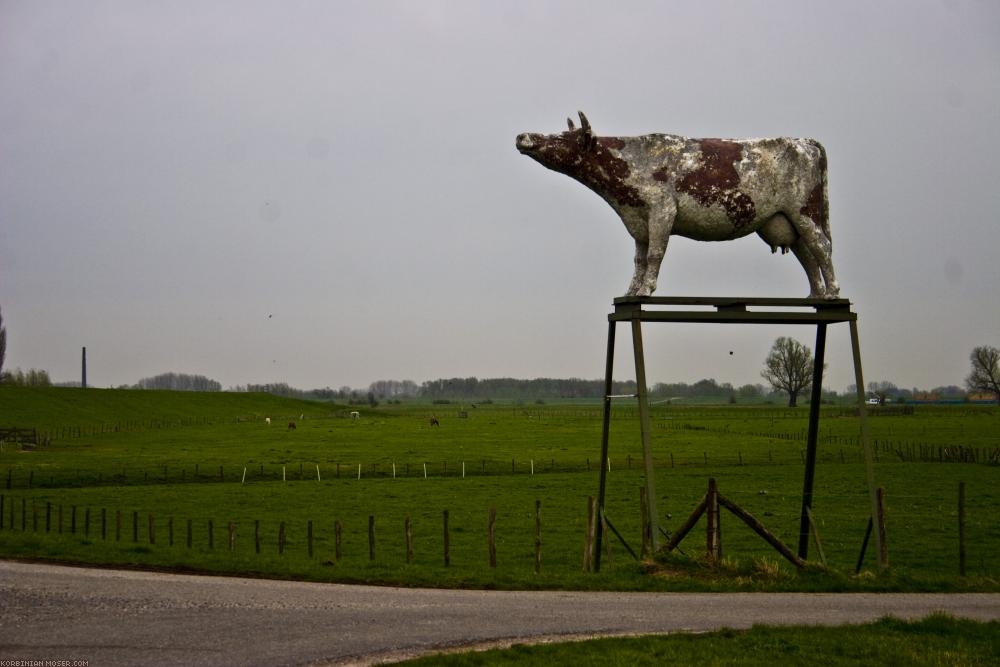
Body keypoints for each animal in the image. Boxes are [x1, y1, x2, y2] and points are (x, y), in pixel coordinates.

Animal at [516, 112, 836, 298]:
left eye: (563, 138)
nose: (523, 135)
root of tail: (803, 141)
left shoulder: (662, 211)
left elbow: (655, 254)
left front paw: (646, 290)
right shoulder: (638, 220)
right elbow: (639, 259)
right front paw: (631, 291)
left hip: (806, 213)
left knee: (822, 248)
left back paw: (833, 293)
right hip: (786, 220)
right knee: (808, 256)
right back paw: (815, 297)